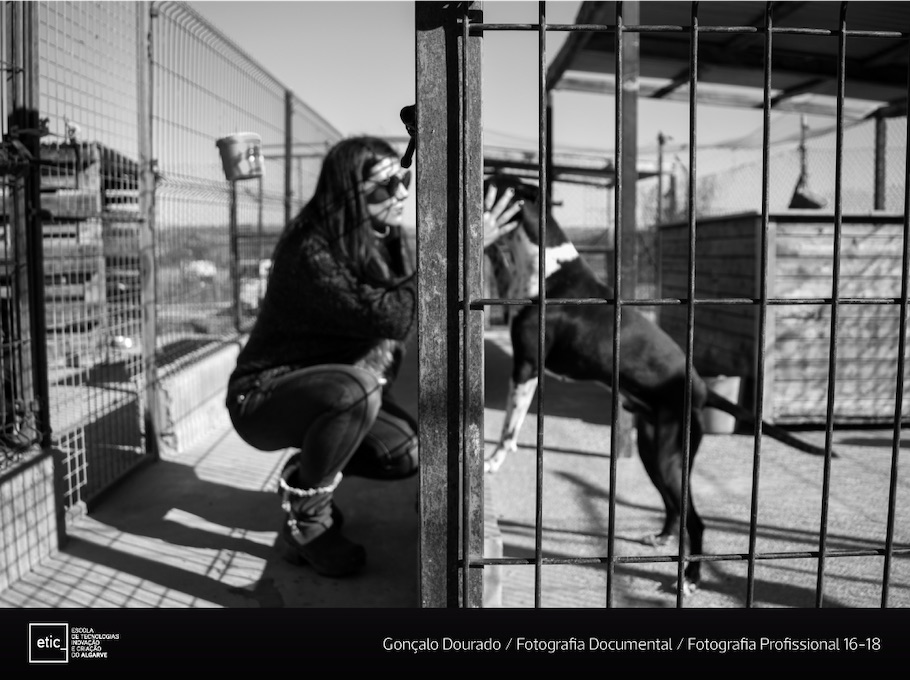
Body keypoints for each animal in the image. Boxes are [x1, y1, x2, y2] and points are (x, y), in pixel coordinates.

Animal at [483, 173, 830, 593]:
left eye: (490, 182)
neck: (547, 267)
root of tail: (701, 388)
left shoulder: (527, 365)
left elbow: (508, 427)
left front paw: (492, 461)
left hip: (669, 457)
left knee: (696, 519)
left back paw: (691, 577)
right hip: (654, 451)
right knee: (673, 506)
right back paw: (663, 538)